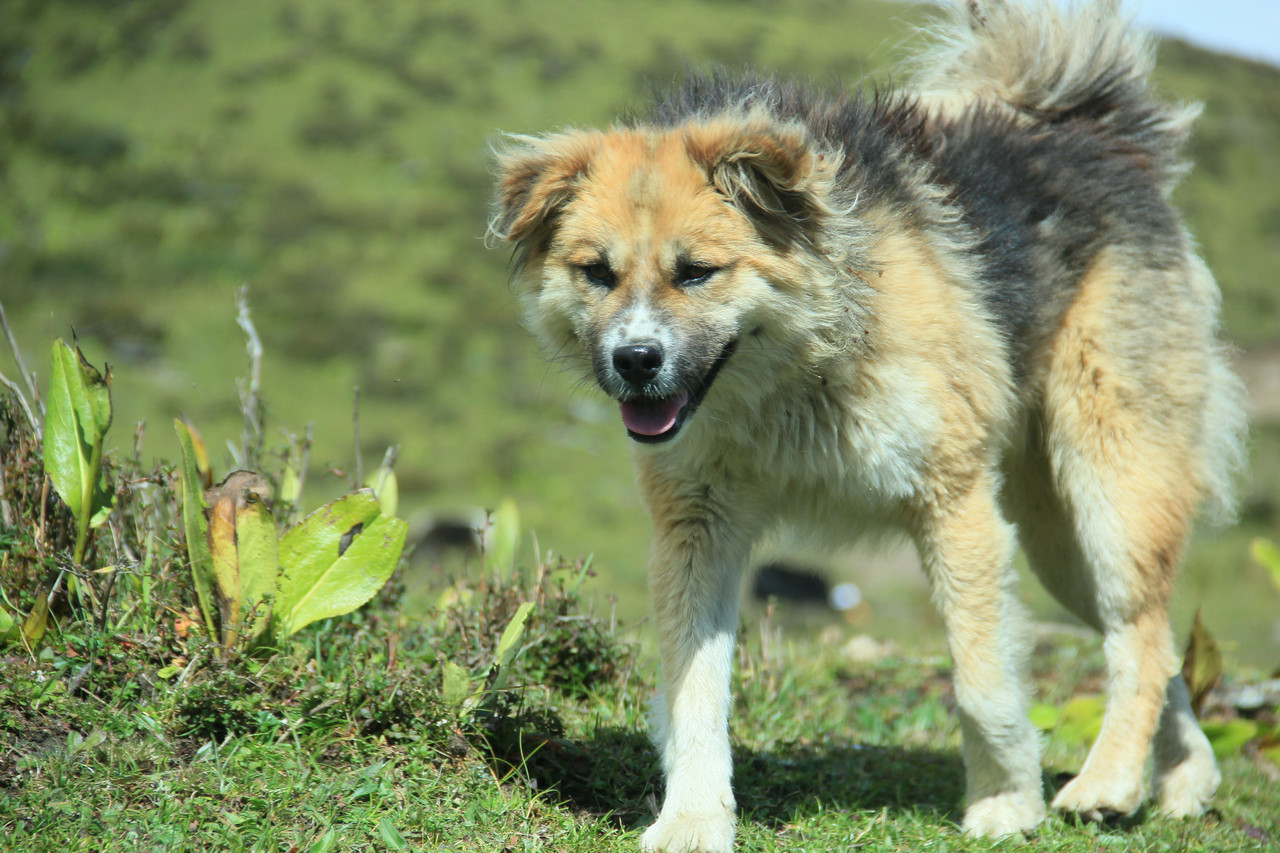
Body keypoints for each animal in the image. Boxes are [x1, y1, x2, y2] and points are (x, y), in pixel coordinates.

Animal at [491, 1, 1249, 845]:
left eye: (697, 272)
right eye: (597, 272)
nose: (634, 360)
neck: (794, 371)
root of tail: (1094, 130)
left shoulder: (955, 503)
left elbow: (983, 682)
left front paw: (1005, 801)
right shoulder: (697, 528)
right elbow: (694, 690)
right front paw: (692, 817)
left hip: (1110, 487)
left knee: (1138, 632)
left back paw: (1109, 780)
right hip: (1058, 544)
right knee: (1152, 635)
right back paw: (1185, 778)